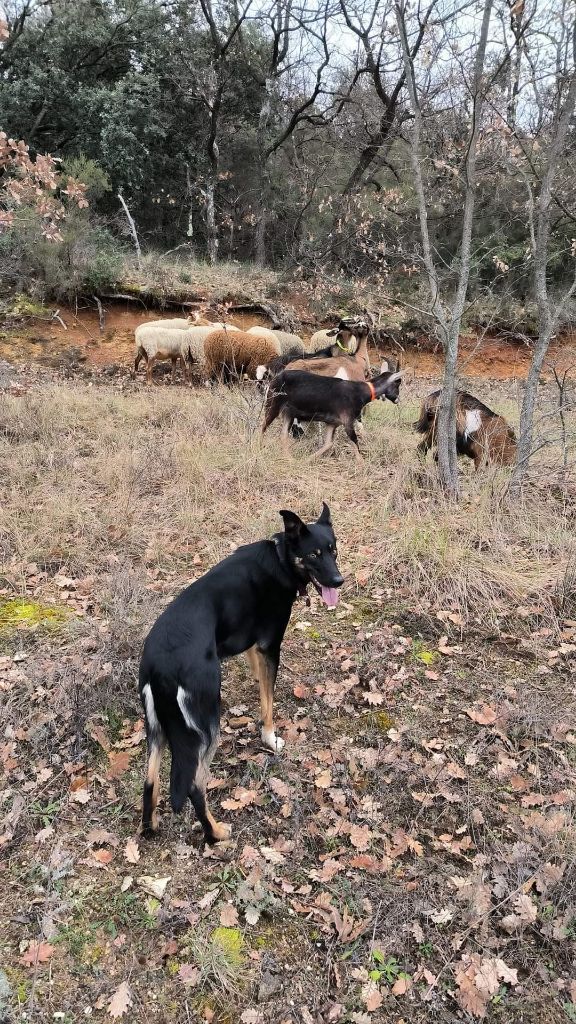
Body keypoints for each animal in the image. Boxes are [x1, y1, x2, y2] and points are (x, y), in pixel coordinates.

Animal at [138, 507, 340, 843]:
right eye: (314, 554)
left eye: (333, 551)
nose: (339, 580)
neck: (281, 559)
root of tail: (161, 664)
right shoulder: (271, 645)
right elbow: (268, 703)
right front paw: (270, 738)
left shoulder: (253, 644)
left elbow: (259, 678)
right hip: (205, 725)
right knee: (194, 785)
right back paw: (216, 833)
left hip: (157, 729)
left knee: (150, 781)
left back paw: (150, 827)